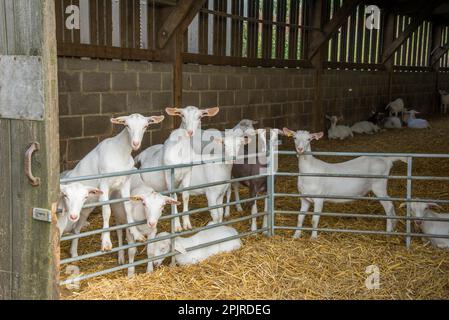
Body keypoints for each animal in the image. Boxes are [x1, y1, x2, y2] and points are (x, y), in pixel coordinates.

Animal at [61, 114, 163, 251]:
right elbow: (106, 211)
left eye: (146, 126)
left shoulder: (125, 182)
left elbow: (127, 206)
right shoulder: (104, 183)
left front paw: (135, 233)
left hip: (86, 207)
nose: (135, 144)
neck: (120, 153)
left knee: (77, 228)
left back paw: (73, 252)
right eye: (127, 125)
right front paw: (106, 241)